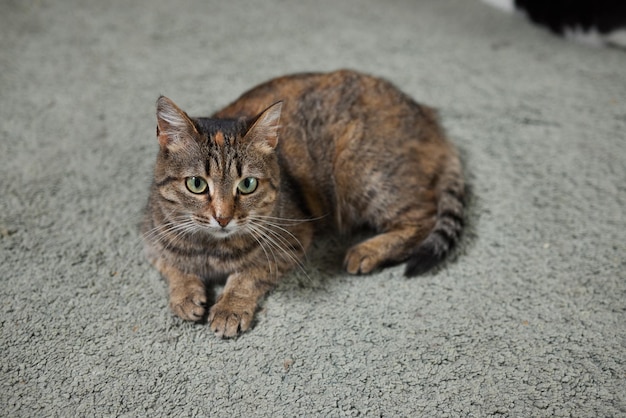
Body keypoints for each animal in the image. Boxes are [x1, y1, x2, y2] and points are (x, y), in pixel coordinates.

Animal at [143, 69, 464, 336]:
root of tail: (427, 117)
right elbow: (173, 266)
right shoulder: (150, 240)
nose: (223, 218)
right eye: (196, 184)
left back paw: (366, 251)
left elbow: (248, 274)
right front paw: (185, 294)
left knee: (423, 217)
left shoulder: (291, 240)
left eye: (247, 185)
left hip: (363, 174)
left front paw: (230, 307)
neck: (211, 249)